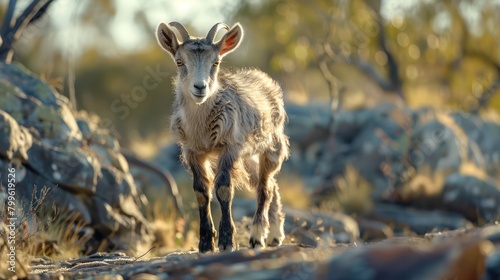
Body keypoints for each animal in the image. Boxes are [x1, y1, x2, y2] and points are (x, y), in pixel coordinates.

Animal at [156, 21, 290, 253]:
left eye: (216, 62)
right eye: (180, 61)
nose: (200, 87)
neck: (201, 127)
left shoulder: (230, 146)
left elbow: (223, 188)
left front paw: (227, 241)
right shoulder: (192, 150)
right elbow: (201, 191)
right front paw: (205, 243)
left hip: (272, 145)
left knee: (265, 187)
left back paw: (258, 236)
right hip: (248, 157)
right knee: (269, 185)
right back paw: (274, 235)